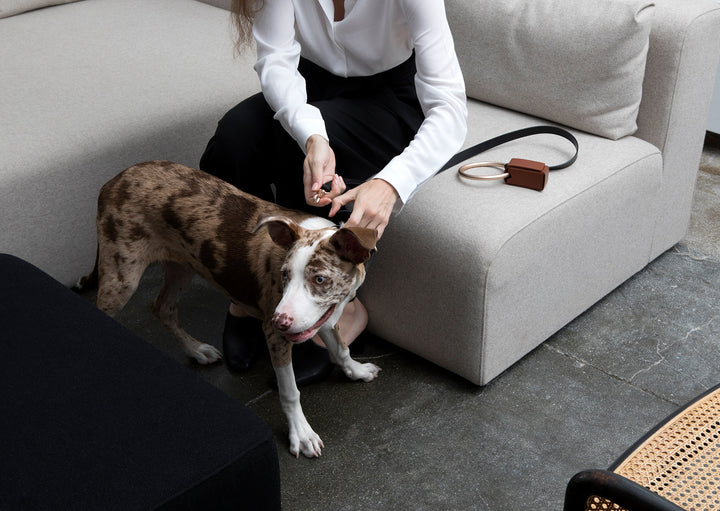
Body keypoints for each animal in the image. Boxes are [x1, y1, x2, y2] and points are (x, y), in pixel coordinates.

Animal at [77, 162, 382, 458]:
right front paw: (301, 434)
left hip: (182, 265)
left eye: (320, 279)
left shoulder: (322, 317)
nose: (280, 321)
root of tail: (114, 180)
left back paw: (197, 350)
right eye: (284, 275)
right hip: (122, 275)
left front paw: (355, 370)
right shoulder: (275, 336)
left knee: (162, 307)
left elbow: (341, 348)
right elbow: (290, 391)